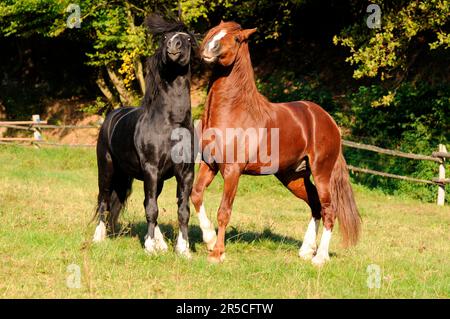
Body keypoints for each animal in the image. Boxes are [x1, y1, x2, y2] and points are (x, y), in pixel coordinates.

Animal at [92, 15, 196, 260]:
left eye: (187, 39)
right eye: (165, 38)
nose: (173, 47)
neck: (172, 123)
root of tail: (111, 117)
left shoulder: (185, 173)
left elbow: (182, 210)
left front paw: (183, 249)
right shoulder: (150, 169)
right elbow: (151, 209)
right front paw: (148, 247)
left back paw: (162, 244)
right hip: (107, 169)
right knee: (104, 200)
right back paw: (98, 237)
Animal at [192, 21, 360, 266]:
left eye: (236, 39)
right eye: (213, 32)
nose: (208, 50)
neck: (234, 112)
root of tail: (328, 120)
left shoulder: (232, 171)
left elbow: (224, 211)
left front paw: (217, 253)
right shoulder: (209, 165)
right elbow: (196, 195)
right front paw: (210, 240)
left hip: (322, 173)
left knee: (330, 209)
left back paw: (320, 257)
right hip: (293, 177)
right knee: (315, 206)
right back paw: (306, 251)